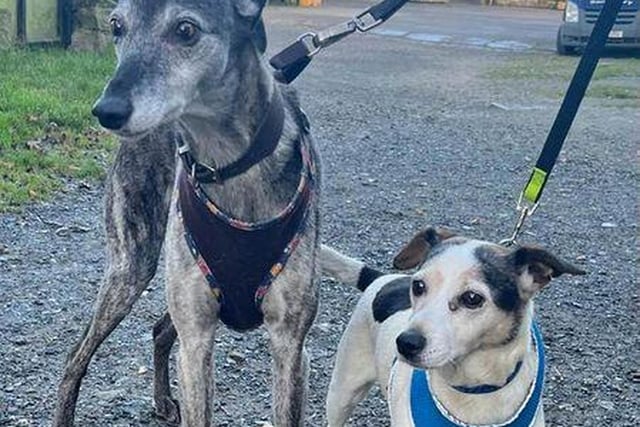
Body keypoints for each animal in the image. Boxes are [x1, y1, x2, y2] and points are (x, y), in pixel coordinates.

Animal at [53, 0, 324, 424]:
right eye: (116, 26)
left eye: (185, 30)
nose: (106, 110)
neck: (229, 164)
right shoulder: (196, 340)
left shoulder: (291, 346)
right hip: (132, 268)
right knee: (76, 355)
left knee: (159, 330)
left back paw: (163, 399)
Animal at [320, 227, 584, 424]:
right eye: (418, 286)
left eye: (472, 298)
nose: (405, 343)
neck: (476, 387)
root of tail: (382, 278)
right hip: (342, 392)